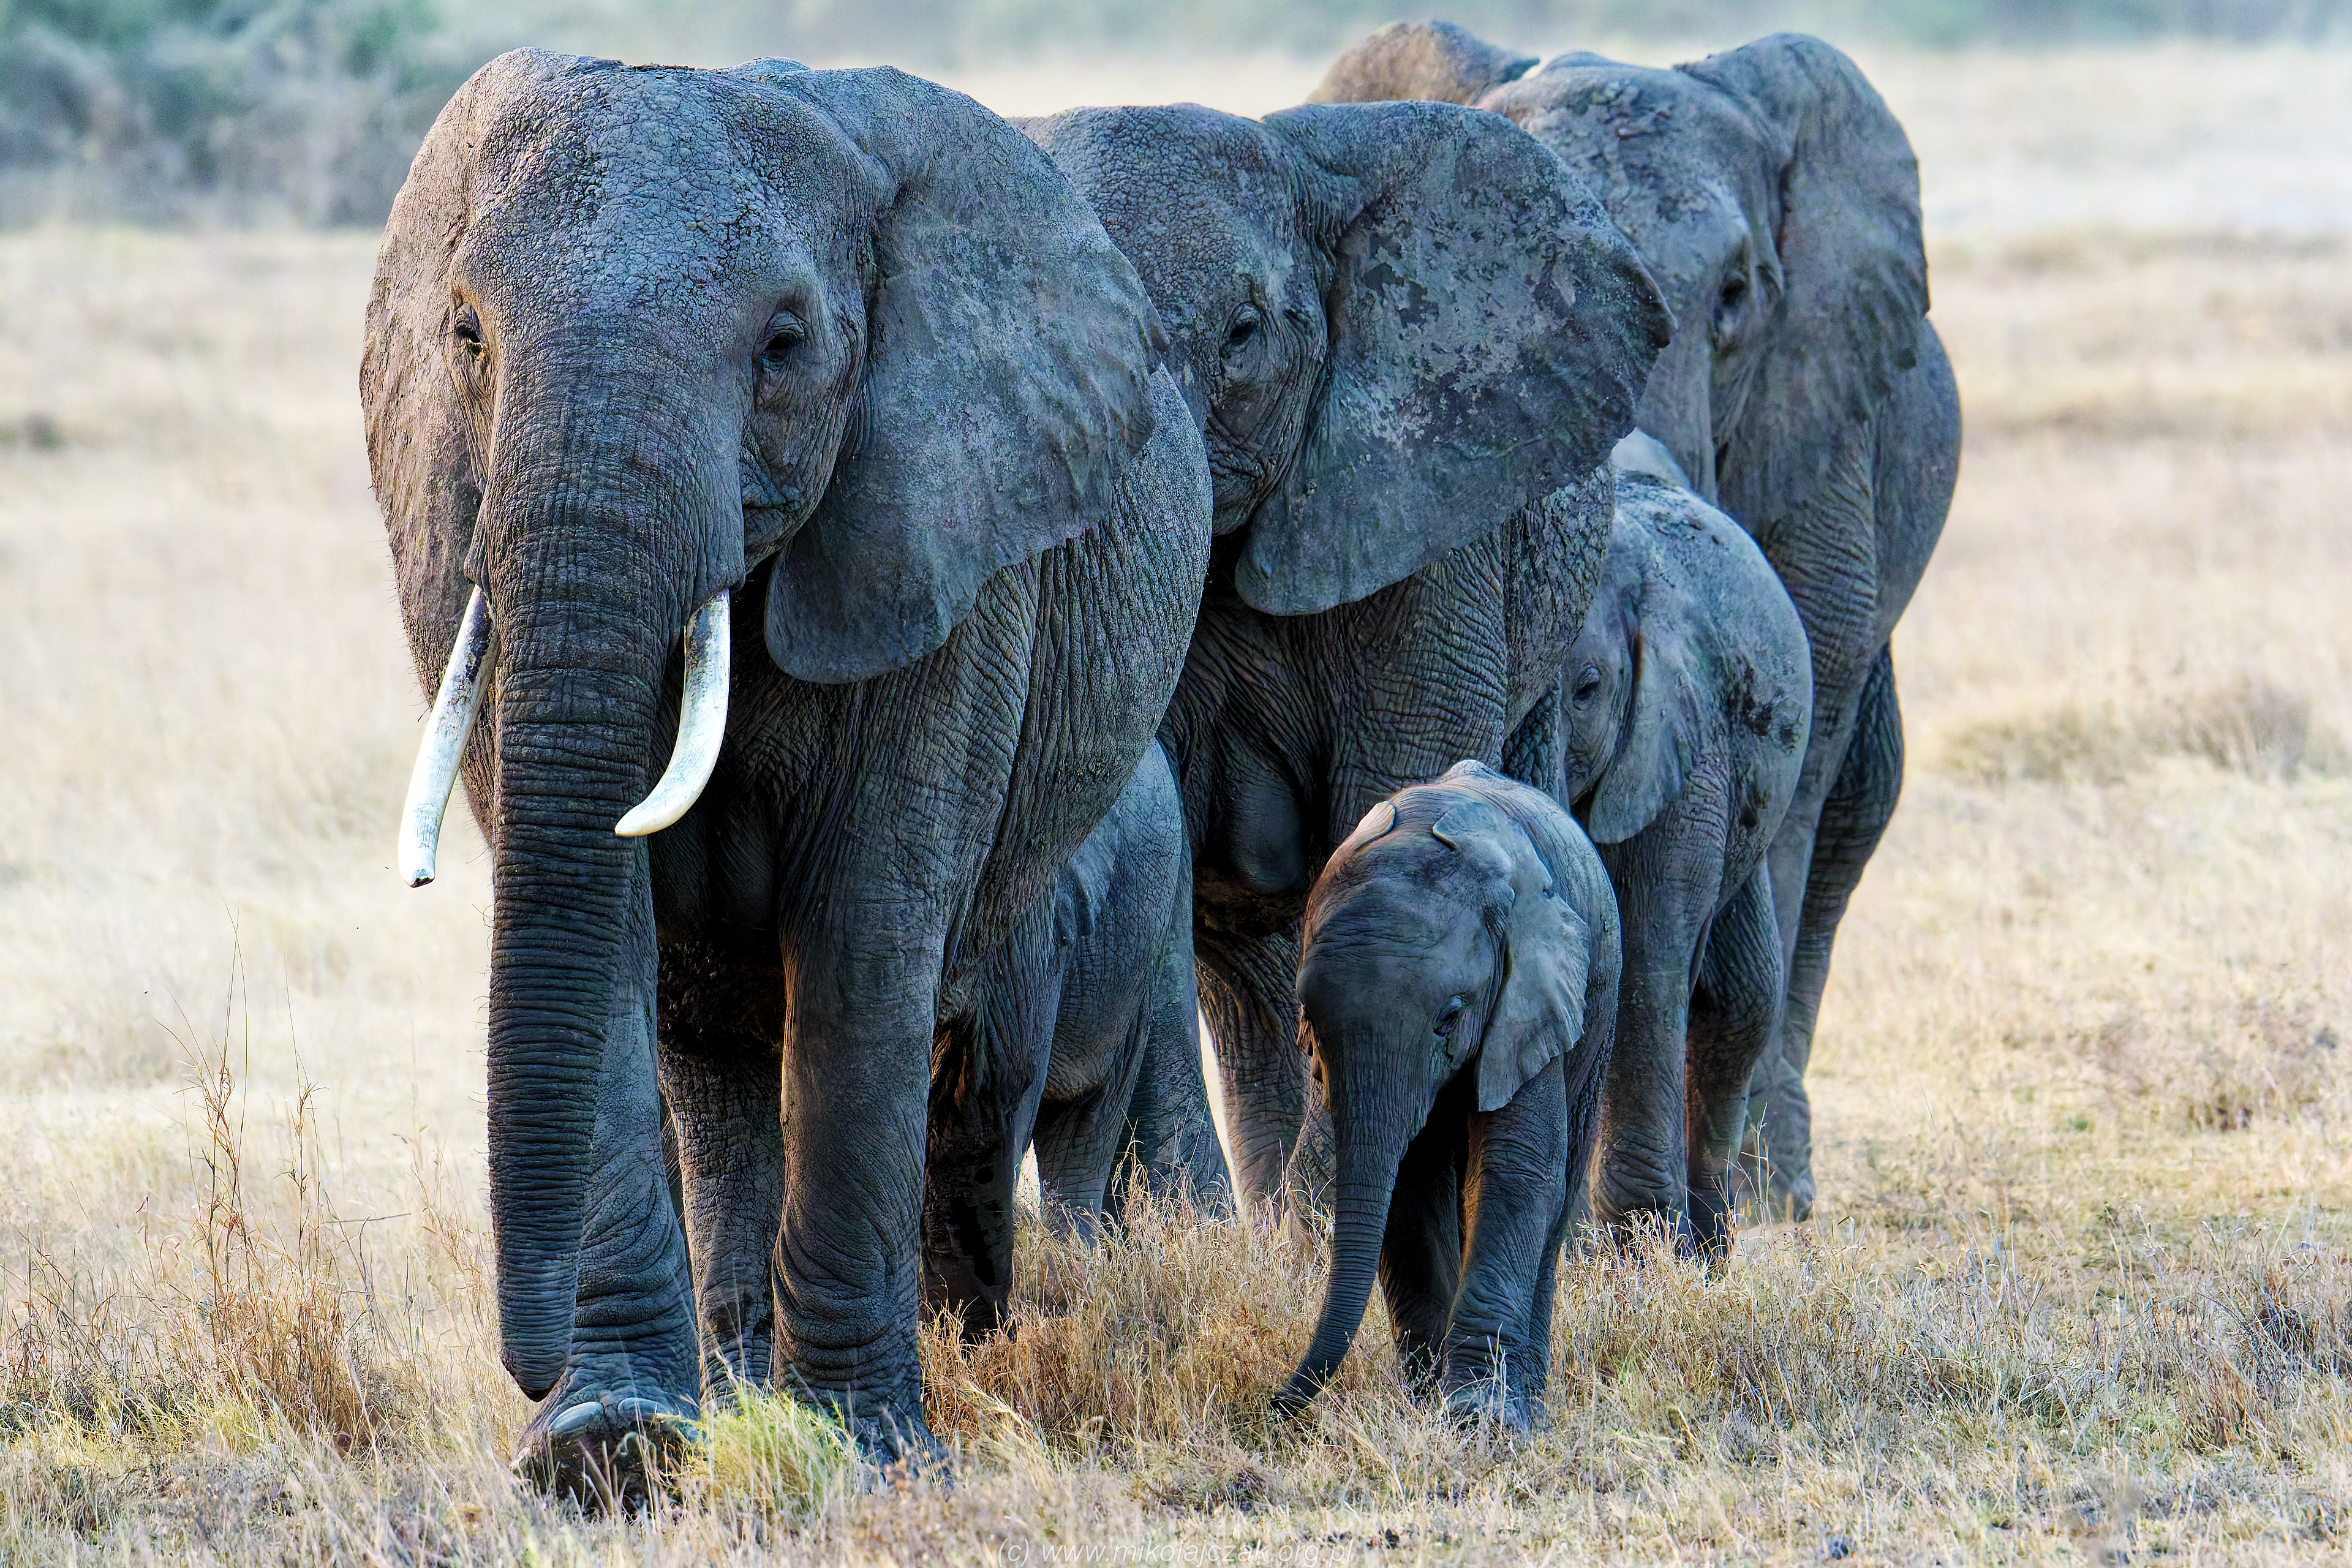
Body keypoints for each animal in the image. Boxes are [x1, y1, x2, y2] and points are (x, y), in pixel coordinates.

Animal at [1274, 761, 1619, 1429]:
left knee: (1559, 1187)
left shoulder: (1529, 990)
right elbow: (1403, 1182)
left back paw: (1531, 1404)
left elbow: (1517, 1166)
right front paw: (1428, 1402)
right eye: (1310, 1026)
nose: (1274, 1404)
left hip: (1600, 1003)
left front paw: (1480, 1418)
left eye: (1450, 1017)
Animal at [1509, 432, 1810, 1251]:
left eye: (1586, 688)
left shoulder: (1684, 746)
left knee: (1742, 999)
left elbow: (1648, 957)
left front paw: (1642, 1249)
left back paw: (1709, 1246)